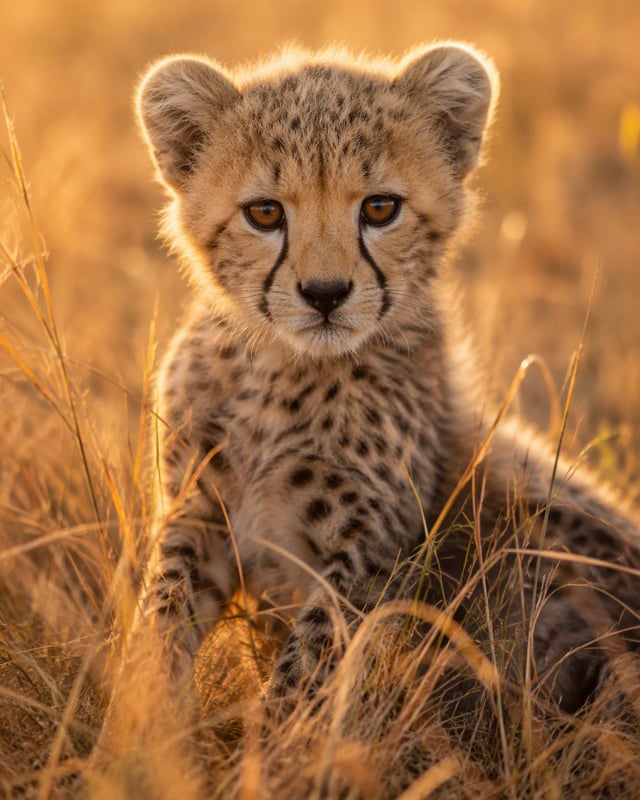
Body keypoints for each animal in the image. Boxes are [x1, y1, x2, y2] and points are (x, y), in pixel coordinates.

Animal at [131, 42, 640, 719]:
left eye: (380, 208)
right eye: (264, 213)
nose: (325, 293)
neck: (283, 372)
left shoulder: (367, 557)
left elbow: (308, 667)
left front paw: (271, 743)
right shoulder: (198, 511)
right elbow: (162, 611)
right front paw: (140, 718)